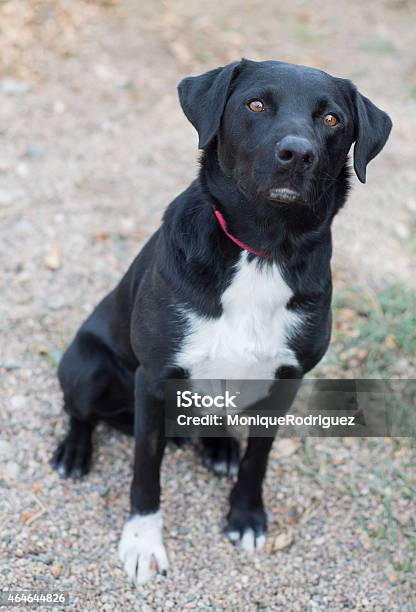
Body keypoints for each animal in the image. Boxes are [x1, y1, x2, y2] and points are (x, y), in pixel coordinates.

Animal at [51, 59, 390, 584]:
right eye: (256, 104)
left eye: (332, 119)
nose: (297, 154)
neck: (262, 251)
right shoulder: (155, 377)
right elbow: (145, 471)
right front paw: (142, 541)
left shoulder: (286, 379)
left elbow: (259, 459)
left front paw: (246, 516)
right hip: (87, 366)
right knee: (80, 411)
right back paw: (75, 451)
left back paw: (218, 447)